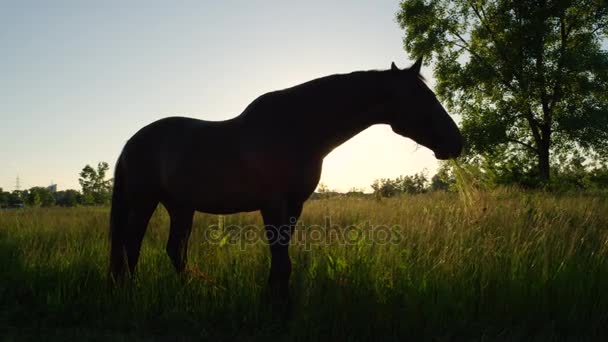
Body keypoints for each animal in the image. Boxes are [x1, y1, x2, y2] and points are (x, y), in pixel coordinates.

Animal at [109, 58, 464, 300]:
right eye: (423, 98)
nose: (456, 141)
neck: (297, 128)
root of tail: (131, 142)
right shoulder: (273, 204)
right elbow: (281, 260)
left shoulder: (294, 206)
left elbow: (281, 260)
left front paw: (274, 300)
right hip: (145, 201)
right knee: (131, 243)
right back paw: (133, 291)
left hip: (181, 206)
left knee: (175, 251)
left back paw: (193, 291)